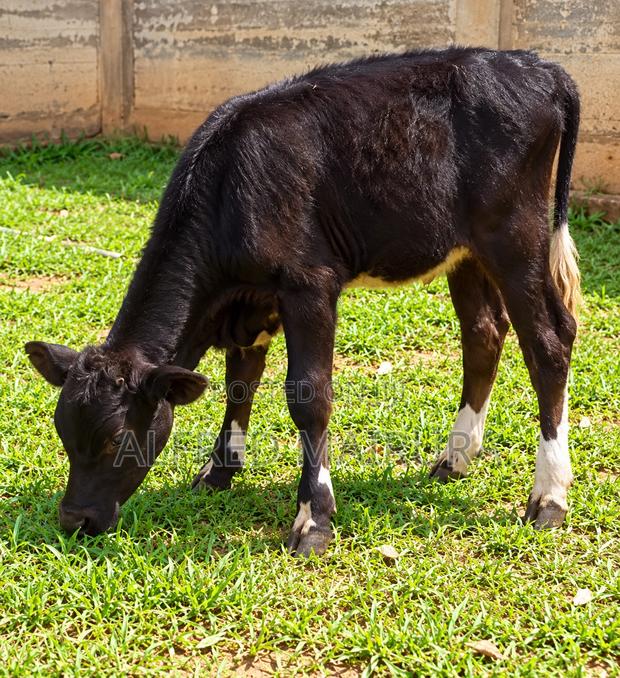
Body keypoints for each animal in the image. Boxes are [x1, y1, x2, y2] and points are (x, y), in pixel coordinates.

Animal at [26, 47, 582, 557]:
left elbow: (308, 396)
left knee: (549, 341)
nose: (75, 519)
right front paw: (219, 472)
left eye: (117, 439)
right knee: (484, 332)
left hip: (516, 237)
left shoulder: (309, 285)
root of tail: (538, 65)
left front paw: (314, 517)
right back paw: (455, 458)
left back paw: (549, 497)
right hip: (464, 250)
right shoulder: (250, 303)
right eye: (62, 432)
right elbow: (240, 384)